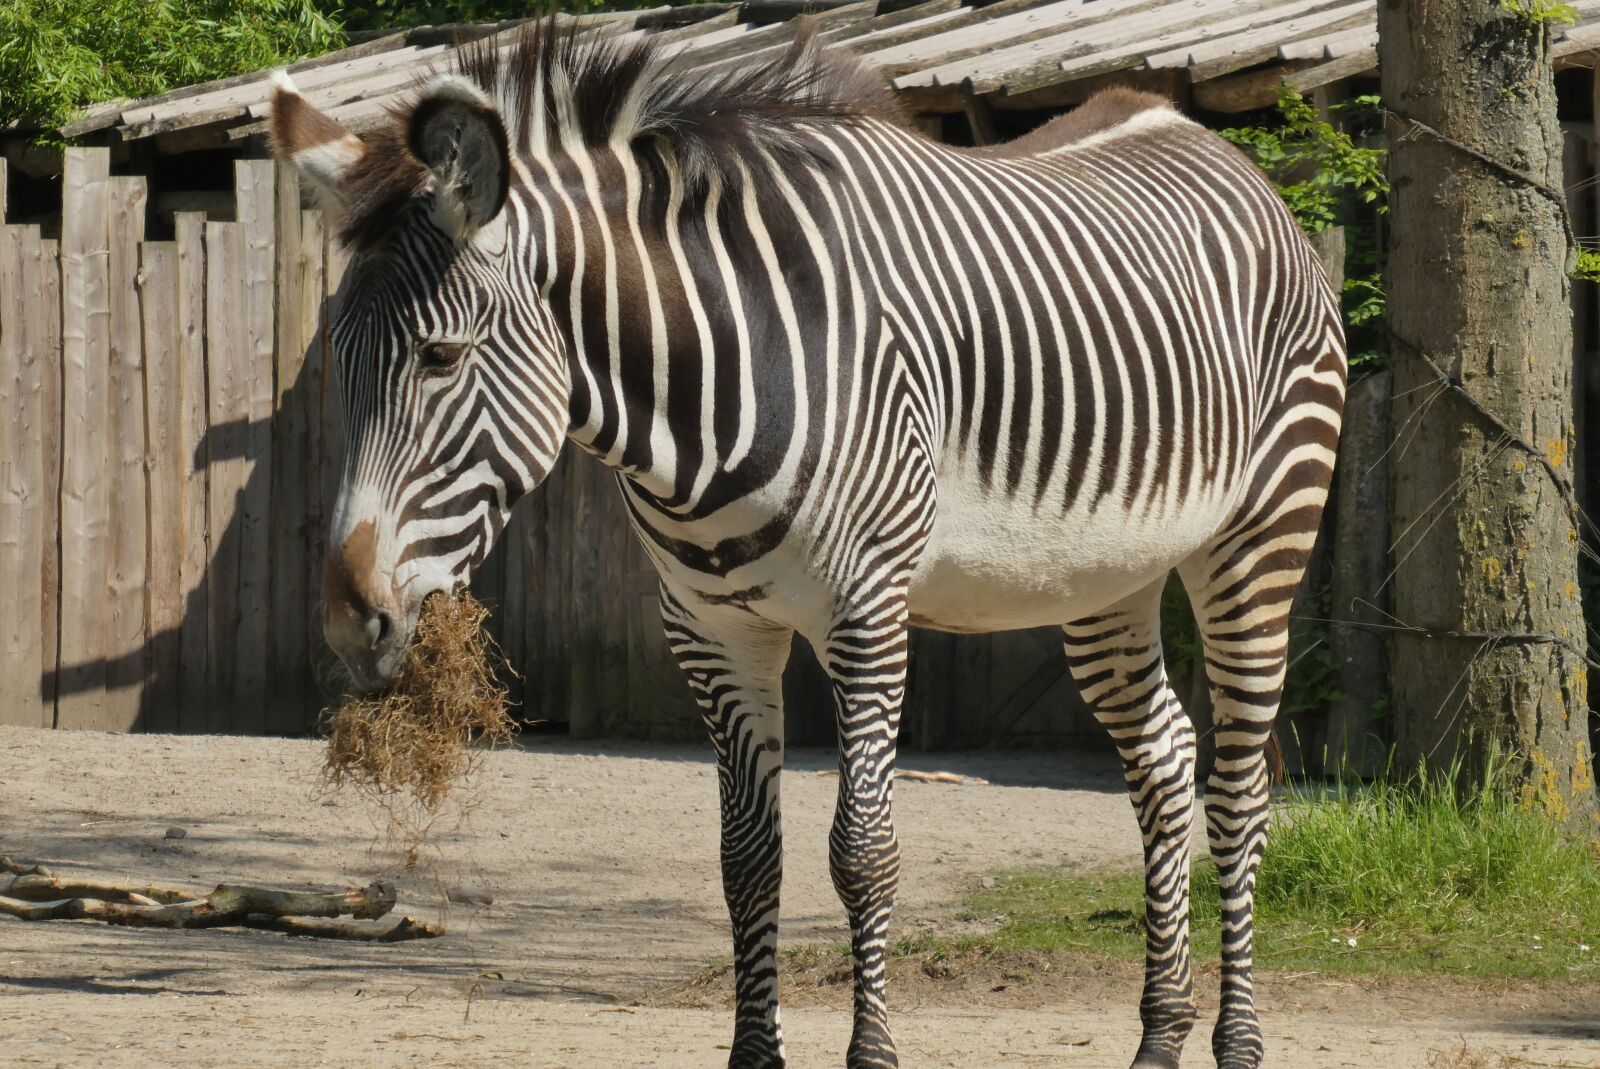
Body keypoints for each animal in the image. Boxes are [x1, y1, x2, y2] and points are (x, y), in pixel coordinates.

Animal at [273, 20, 1344, 1069]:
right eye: (339, 361)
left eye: (439, 357)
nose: (350, 622)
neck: (712, 384)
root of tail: (1220, 150)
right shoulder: (712, 628)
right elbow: (748, 858)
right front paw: (756, 1051)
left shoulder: (865, 612)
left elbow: (861, 850)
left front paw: (872, 1051)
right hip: (1103, 577)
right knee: (1163, 758)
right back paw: (1160, 1035)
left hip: (1259, 537)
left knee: (1238, 787)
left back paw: (1238, 1038)